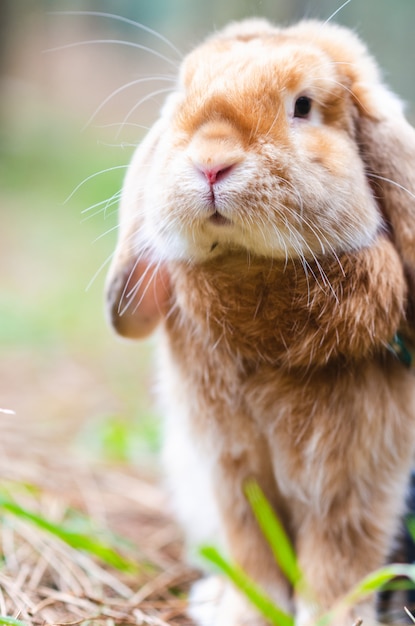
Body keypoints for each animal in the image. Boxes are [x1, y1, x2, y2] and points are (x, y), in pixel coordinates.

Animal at [105, 17, 415, 620]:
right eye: (184, 96)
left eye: (303, 106)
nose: (211, 161)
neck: (252, 275)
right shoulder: (229, 468)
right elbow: (250, 544)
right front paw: (243, 613)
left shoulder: (356, 482)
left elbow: (340, 559)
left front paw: (333, 619)